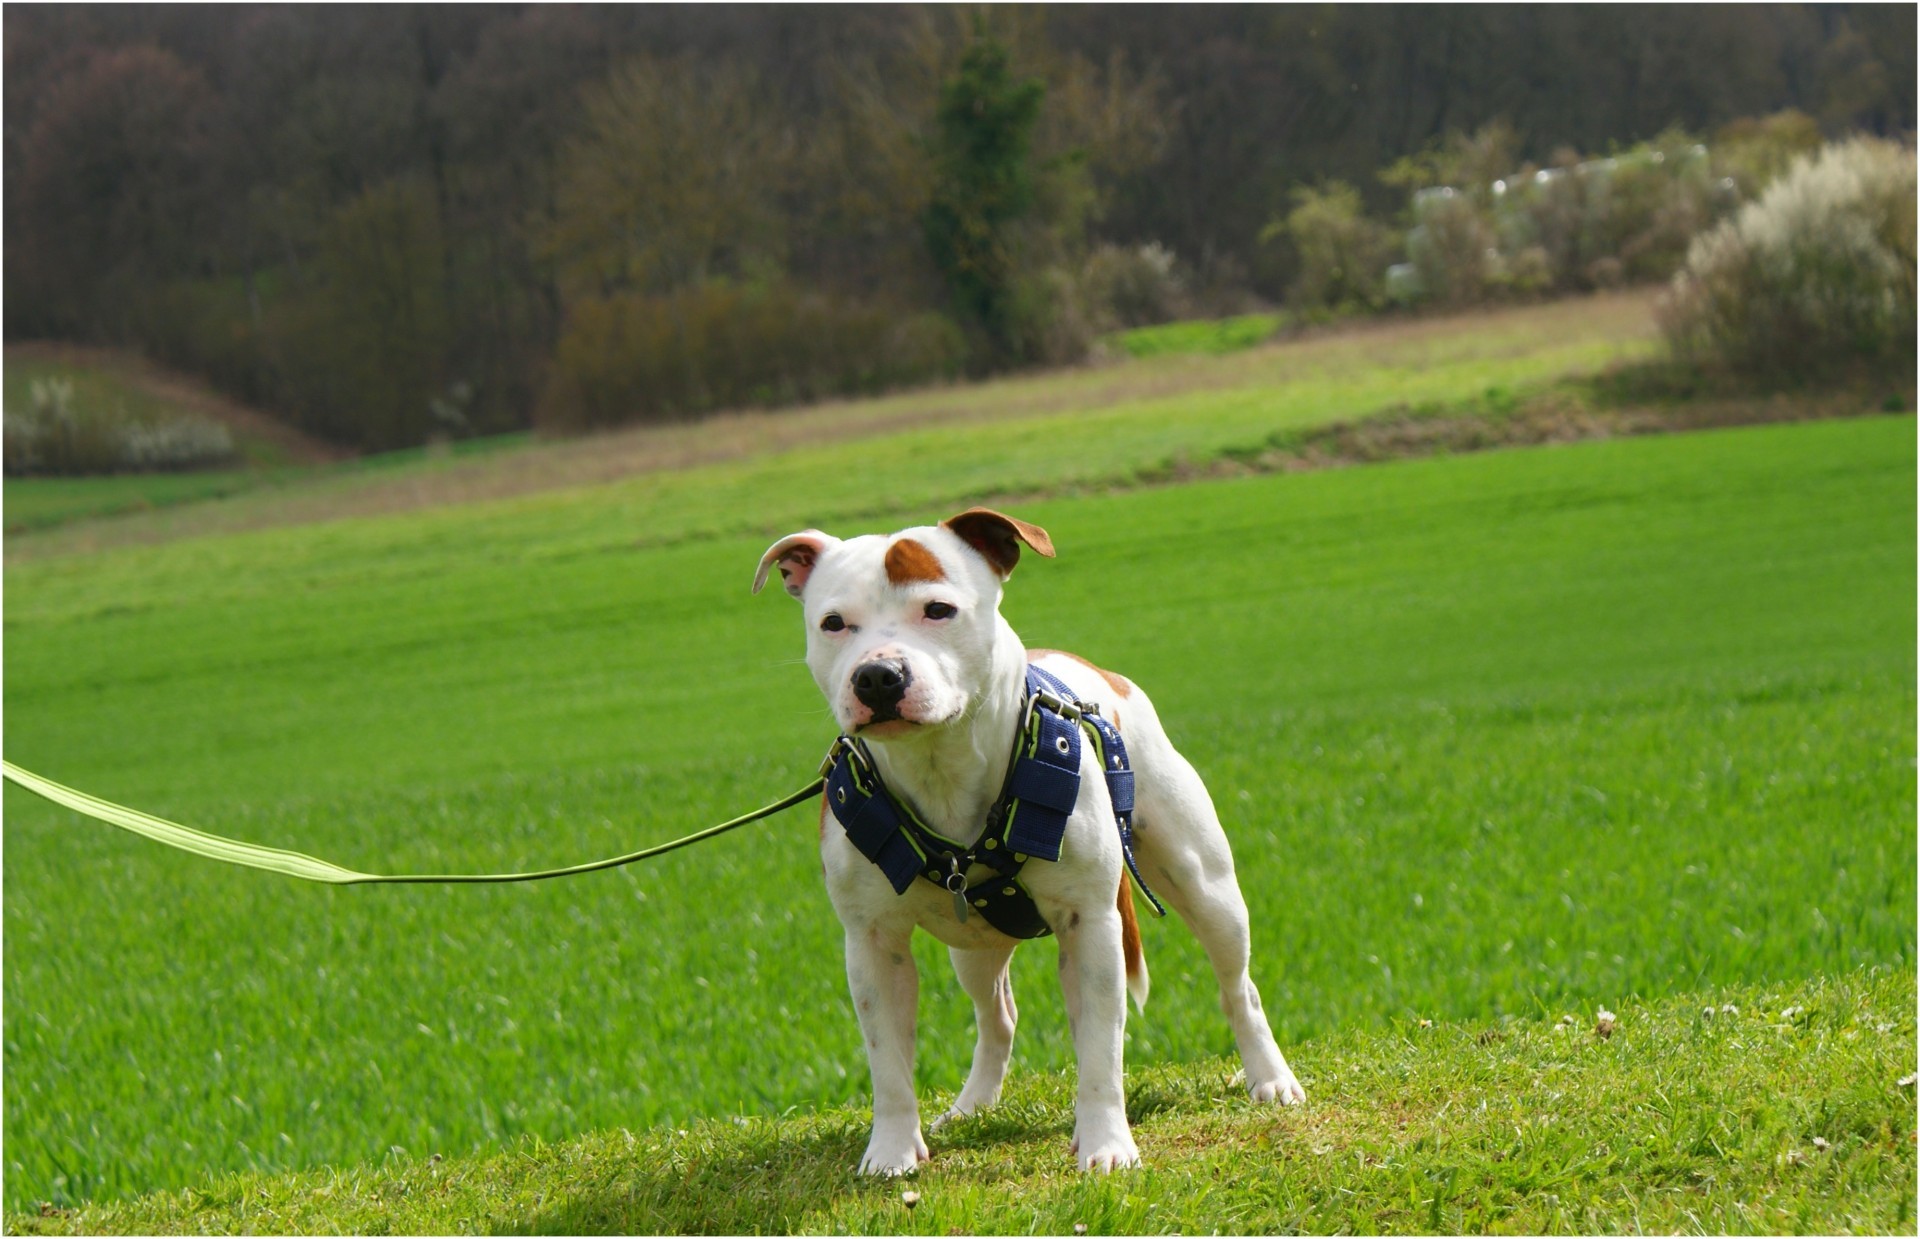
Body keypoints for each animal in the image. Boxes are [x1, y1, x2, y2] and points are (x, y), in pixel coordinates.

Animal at [748, 503, 1305, 1167]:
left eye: (939, 610)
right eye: (833, 623)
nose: (878, 675)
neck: (940, 768)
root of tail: (1095, 669)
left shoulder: (1090, 925)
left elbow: (1101, 1048)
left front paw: (1106, 1144)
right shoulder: (872, 942)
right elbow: (888, 1063)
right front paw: (891, 1152)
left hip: (1207, 887)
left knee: (1236, 988)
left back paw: (1270, 1078)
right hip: (972, 949)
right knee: (999, 1018)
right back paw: (972, 1106)